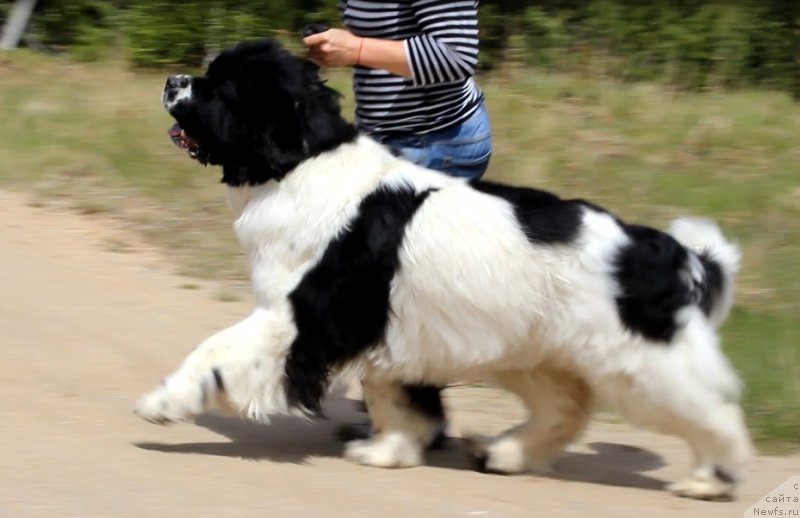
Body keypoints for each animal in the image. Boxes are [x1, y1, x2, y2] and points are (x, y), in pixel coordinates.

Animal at [134, 38, 752, 502]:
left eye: (219, 87)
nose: (171, 80)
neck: (300, 162)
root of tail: (670, 251)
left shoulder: (298, 316)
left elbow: (214, 352)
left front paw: (160, 404)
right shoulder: (386, 329)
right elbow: (394, 397)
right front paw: (389, 451)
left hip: (643, 363)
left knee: (713, 413)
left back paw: (708, 480)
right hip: (533, 349)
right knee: (566, 408)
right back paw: (505, 453)